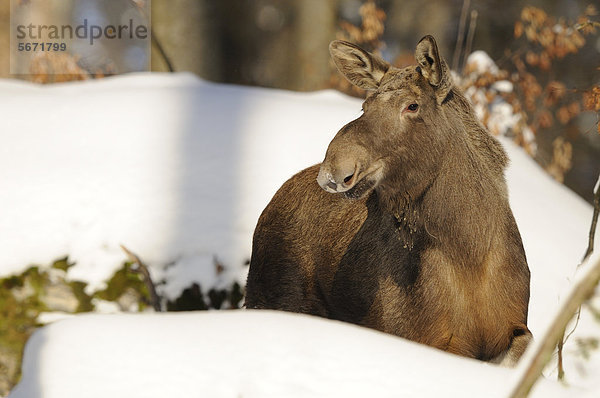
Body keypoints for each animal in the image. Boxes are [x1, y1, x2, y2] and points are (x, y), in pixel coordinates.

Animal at [244, 35, 528, 366]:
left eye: (412, 105)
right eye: (365, 105)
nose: (335, 170)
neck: (470, 250)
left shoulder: (512, 328)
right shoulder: (424, 338)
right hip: (272, 298)